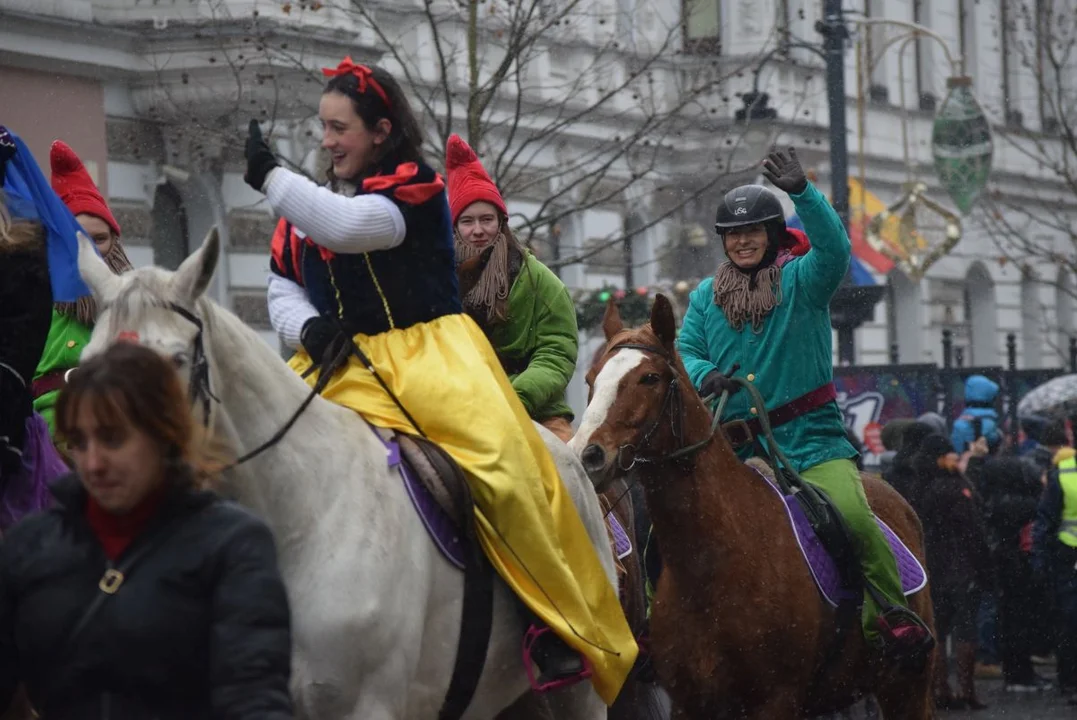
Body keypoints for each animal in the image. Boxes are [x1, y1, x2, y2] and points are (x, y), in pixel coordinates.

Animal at [75, 226, 616, 718]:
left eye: (175, 359)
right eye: (85, 365)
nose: (102, 474)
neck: (299, 518)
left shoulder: (365, 706)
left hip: (580, 694)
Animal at [568, 292, 930, 718]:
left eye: (650, 378)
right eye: (591, 380)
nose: (587, 455)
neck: (714, 561)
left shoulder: (777, 699)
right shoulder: (689, 702)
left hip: (907, 686)